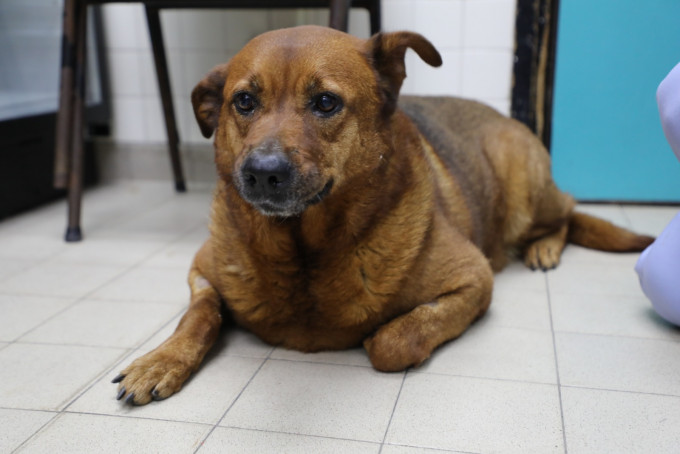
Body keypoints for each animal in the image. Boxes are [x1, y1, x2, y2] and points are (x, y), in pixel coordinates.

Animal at [111, 24, 652, 404]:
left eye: (325, 102)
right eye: (243, 101)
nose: (262, 173)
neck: (303, 251)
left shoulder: (474, 279)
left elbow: (393, 342)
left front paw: (380, 334)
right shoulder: (202, 269)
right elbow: (199, 314)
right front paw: (161, 360)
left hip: (524, 187)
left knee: (568, 214)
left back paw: (543, 248)